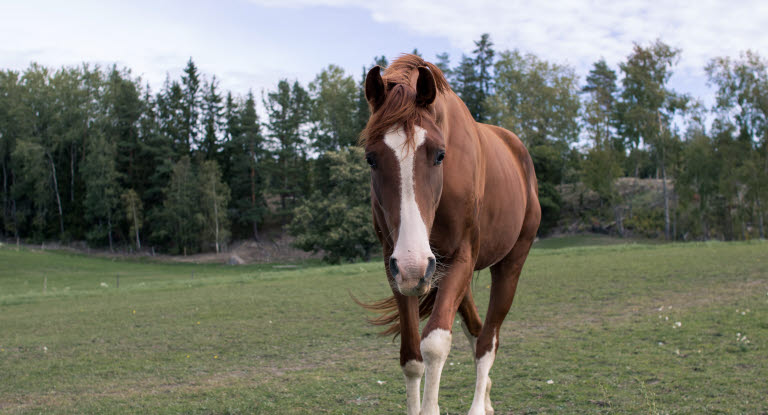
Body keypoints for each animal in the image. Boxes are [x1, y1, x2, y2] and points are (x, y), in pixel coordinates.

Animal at [358, 53, 540, 414]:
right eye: (371, 158)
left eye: (440, 154)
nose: (414, 262)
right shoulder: (397, 268)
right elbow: (412, 356)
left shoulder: (459, 257)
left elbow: (435, 344)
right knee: (477, 330)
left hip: (509, 264)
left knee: (488, 340)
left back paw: (479, 406)